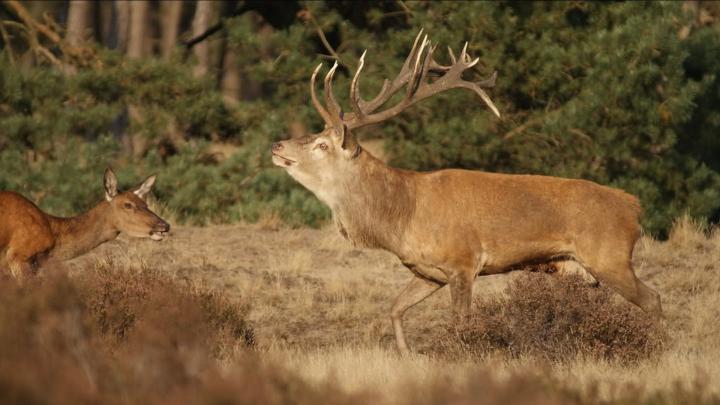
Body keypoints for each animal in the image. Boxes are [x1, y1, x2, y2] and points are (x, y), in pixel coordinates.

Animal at [271, 30, 662, 355]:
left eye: (322, 145)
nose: (277, 145)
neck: (403, 216)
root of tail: (634, 207)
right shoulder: (427, 271)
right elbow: (395, 309)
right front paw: (407, 356)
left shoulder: (463, 261)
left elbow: (461, 323)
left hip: (609, 255)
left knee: (653, 298)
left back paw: (658, 347)